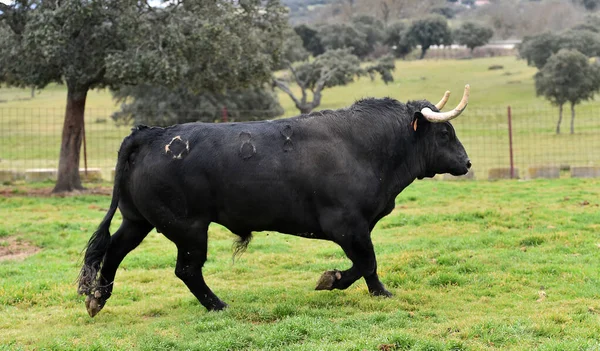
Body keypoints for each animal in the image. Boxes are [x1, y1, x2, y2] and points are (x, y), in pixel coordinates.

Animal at [77, 92, 472, 318]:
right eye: (445, 133)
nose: (467, 163)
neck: (363, 146)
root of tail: (150, 134)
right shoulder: (347, 226)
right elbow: (366, 262)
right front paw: (334, 281)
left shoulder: (357, 228)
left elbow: (369, 266)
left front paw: (378, 293)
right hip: (189, 229)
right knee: (187, 270)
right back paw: (218, 305)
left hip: (137, 220)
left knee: (114, 251)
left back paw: (98, 298)